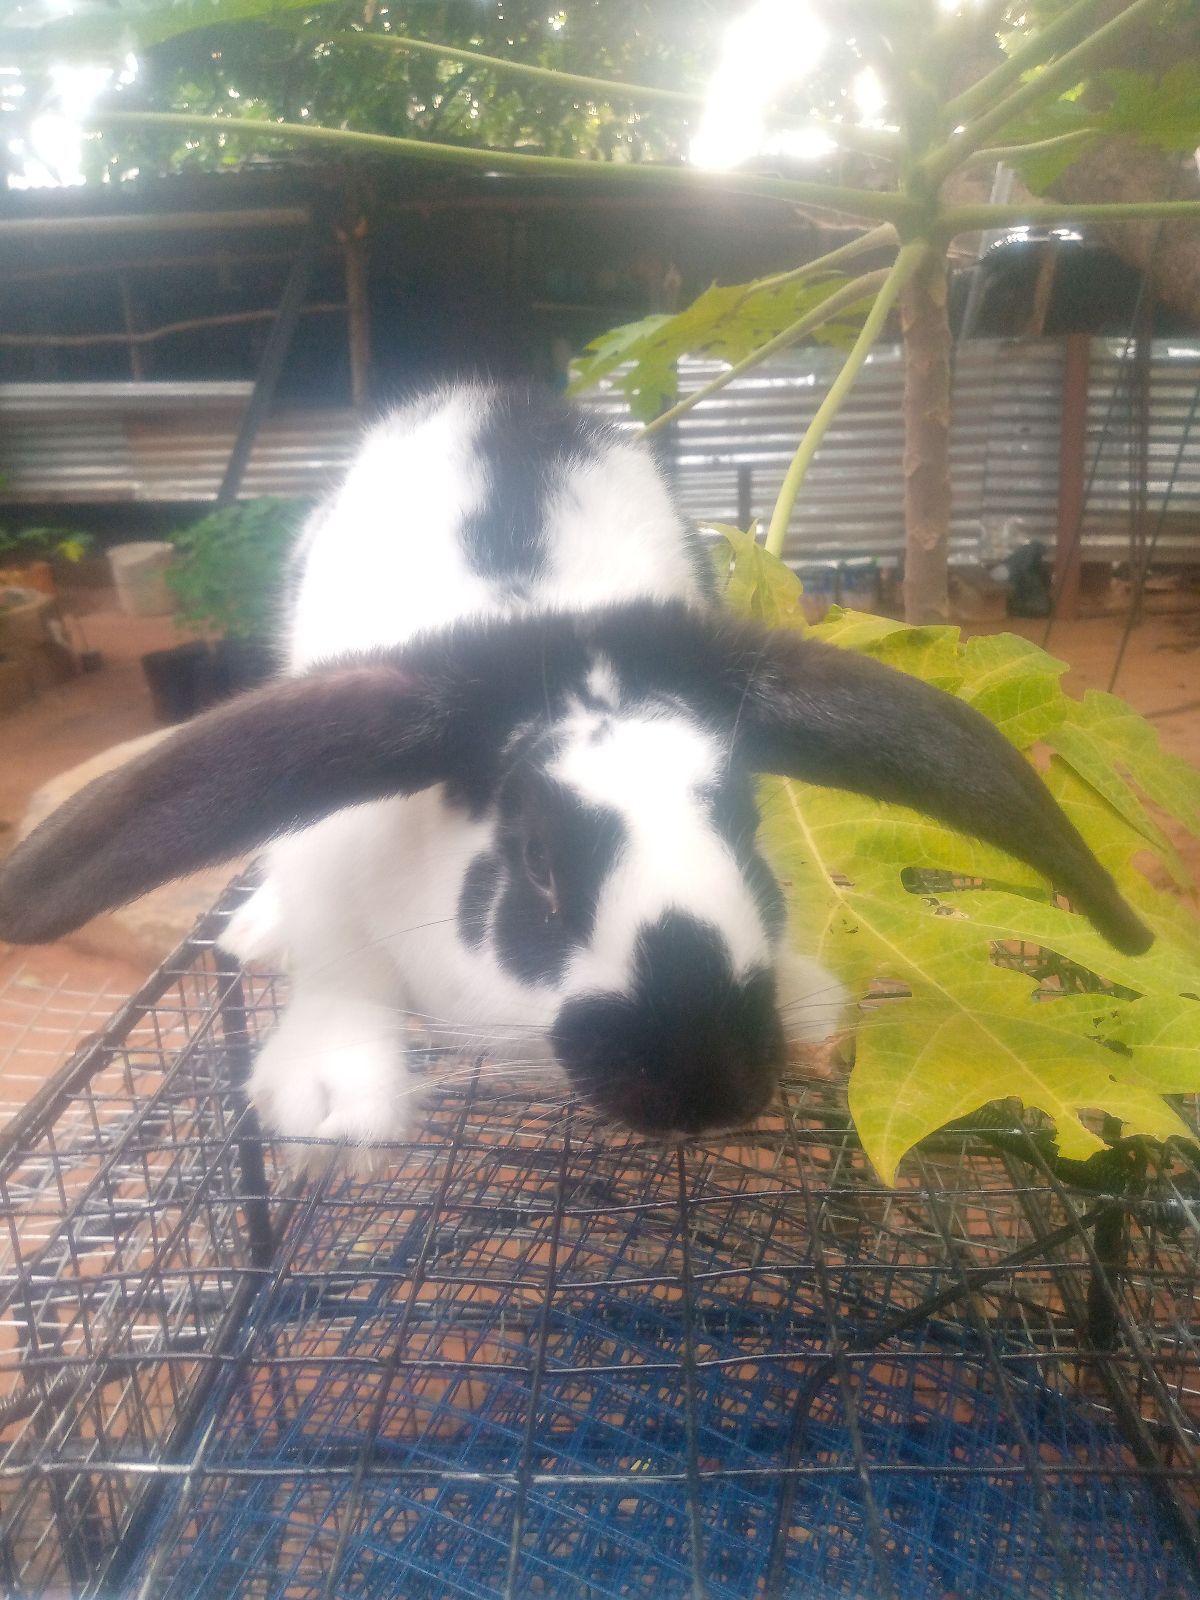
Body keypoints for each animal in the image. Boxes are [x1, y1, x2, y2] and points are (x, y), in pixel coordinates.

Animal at [0, 383, 1151, 1169]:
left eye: (747, 829)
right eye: (537, 868)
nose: (702, 1087)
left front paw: (808, 994)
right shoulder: (329, 847)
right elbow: (339, 967)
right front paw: (328, 1104)